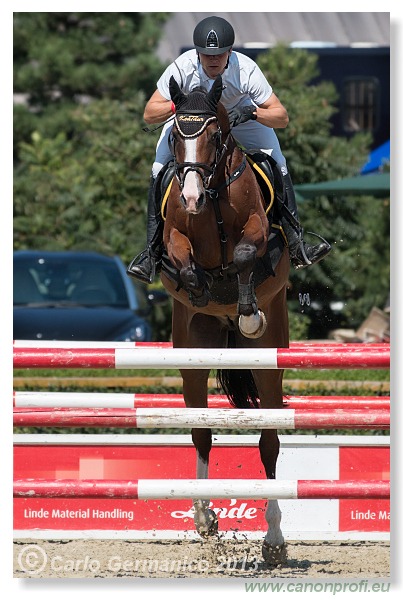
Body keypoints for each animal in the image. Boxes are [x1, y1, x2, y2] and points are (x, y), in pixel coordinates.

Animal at [159, 74, 288, 564]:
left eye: (215, 135)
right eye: (176, 137)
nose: (192, 197)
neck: (212, 193)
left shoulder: (257, 231)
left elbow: (249, 253)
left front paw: (246, 307)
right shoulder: (177, 235)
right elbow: (184, 260)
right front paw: (199, 285)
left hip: (271, 360)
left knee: (269, 441)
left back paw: (274, 540)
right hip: (191, 354)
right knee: (200, 432)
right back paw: (204, 518)